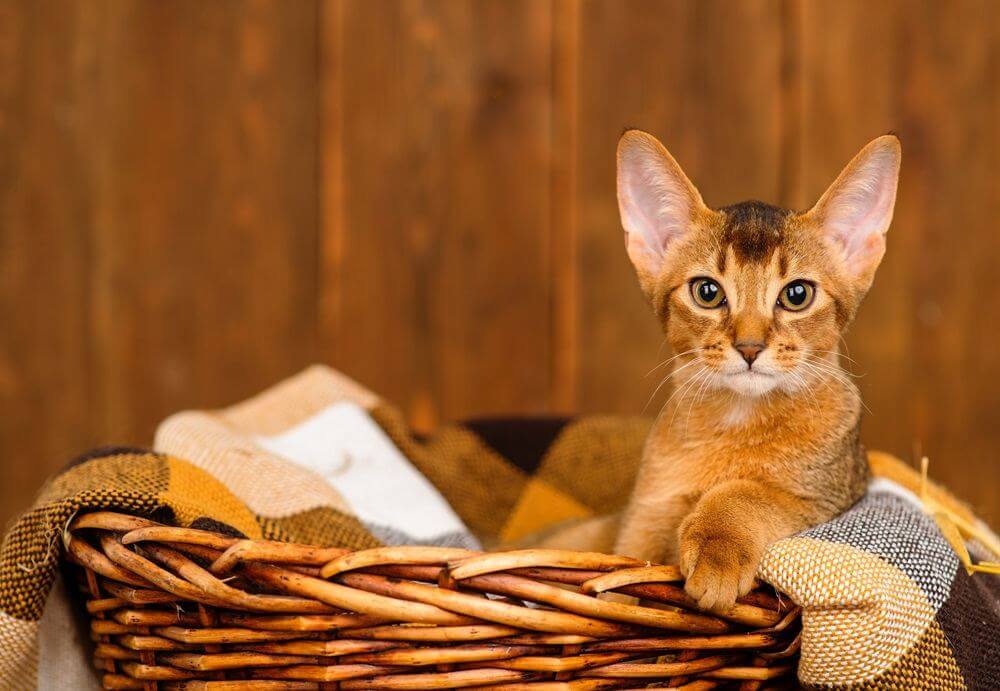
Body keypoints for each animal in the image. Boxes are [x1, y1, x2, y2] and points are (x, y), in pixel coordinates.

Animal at [536, 131, 904, 616]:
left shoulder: (828, 498)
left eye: (797, 295)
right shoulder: (640, 523)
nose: (749, 347)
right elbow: (626, 572)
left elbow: (750, 492)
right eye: (707, 292)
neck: (735, 423)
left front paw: (717, 546)